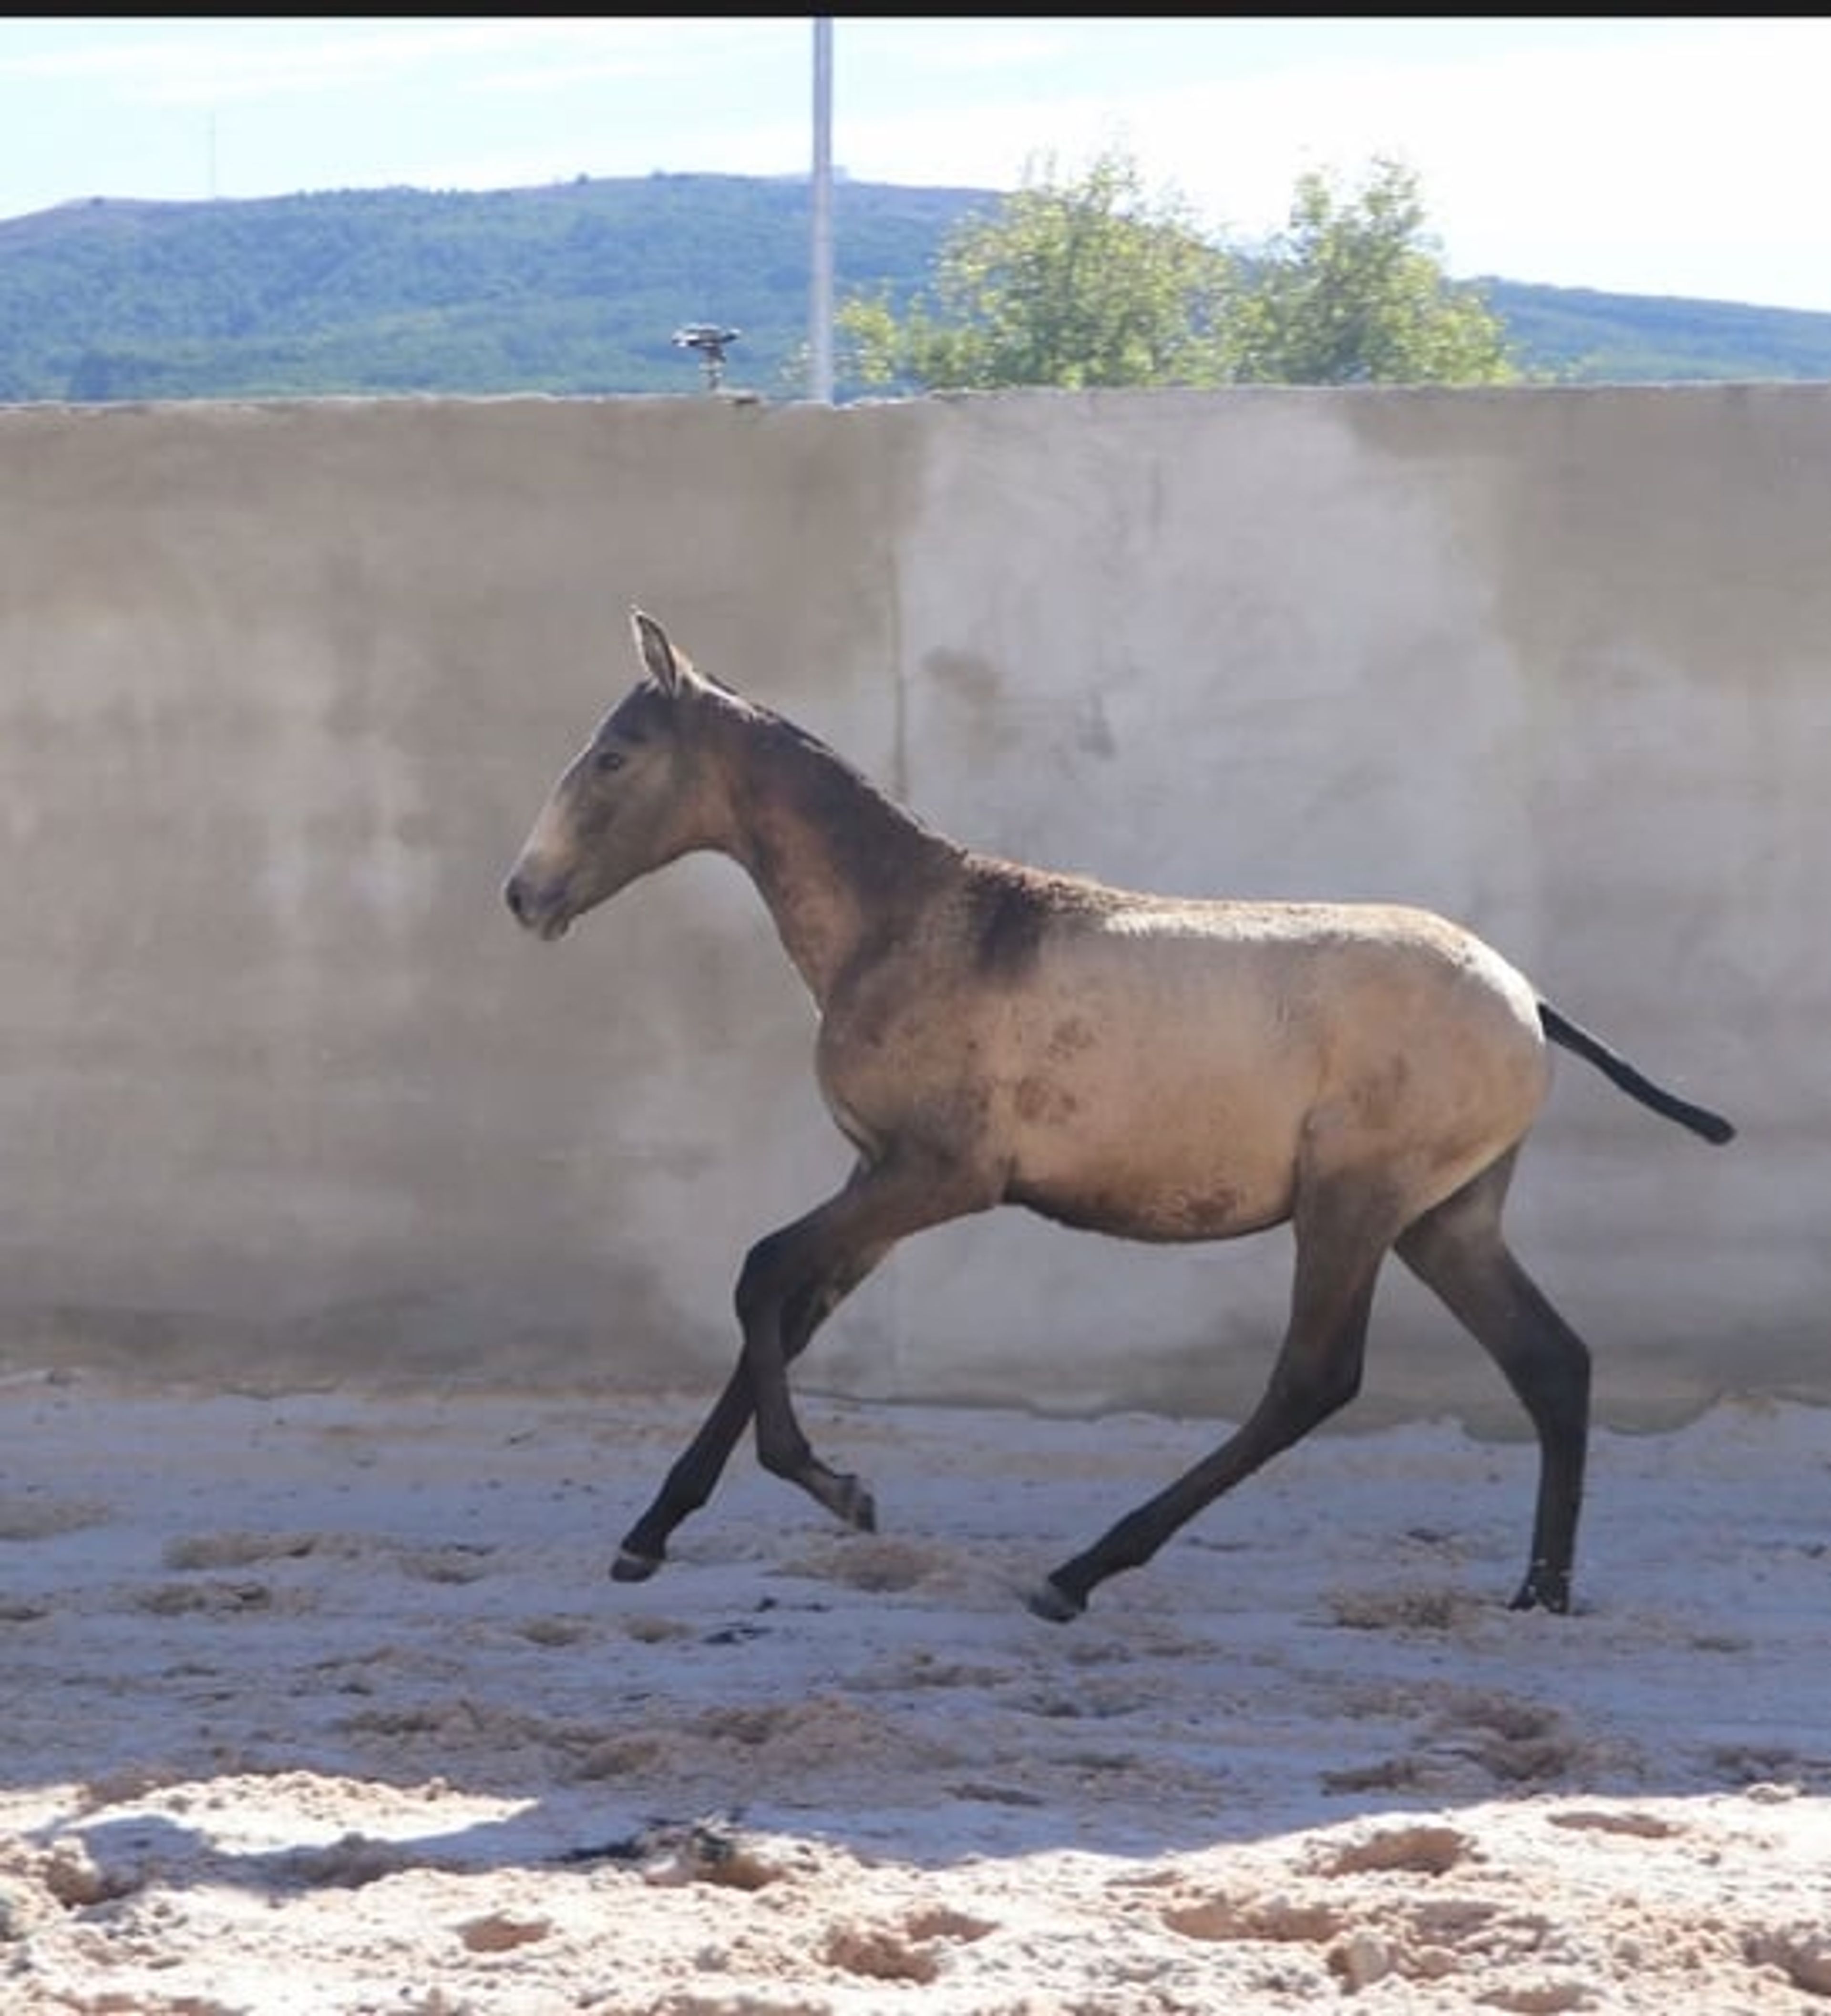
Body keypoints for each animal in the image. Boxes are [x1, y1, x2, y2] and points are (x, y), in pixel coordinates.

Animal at [503, 609, 1734, 1622]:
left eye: (615, 756)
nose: (523, 894)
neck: (912, 925)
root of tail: (1527, 1000)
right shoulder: (876, 1177)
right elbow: (787, 1308)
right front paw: (648, 1536)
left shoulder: (939, 1175)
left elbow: (759, 1272)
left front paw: (838, 1489)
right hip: (1447, 1217)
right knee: (1551, 1363)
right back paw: (1540, 1594)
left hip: (1357, 1200)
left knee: (1315, 1377)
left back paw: (1075, 1574)